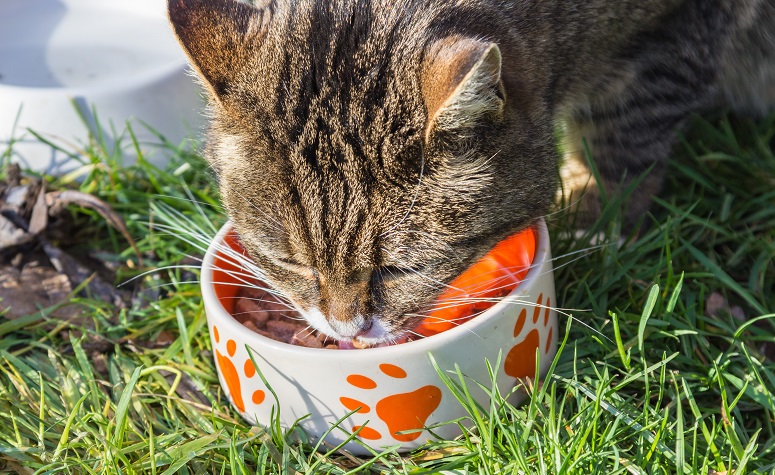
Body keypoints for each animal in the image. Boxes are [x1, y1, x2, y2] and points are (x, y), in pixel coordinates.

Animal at [170, 0, 775, 344]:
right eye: (290, 262)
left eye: (401, 269)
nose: (346, 330)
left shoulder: (674, 35)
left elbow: (624, 136)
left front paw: (597, 221)